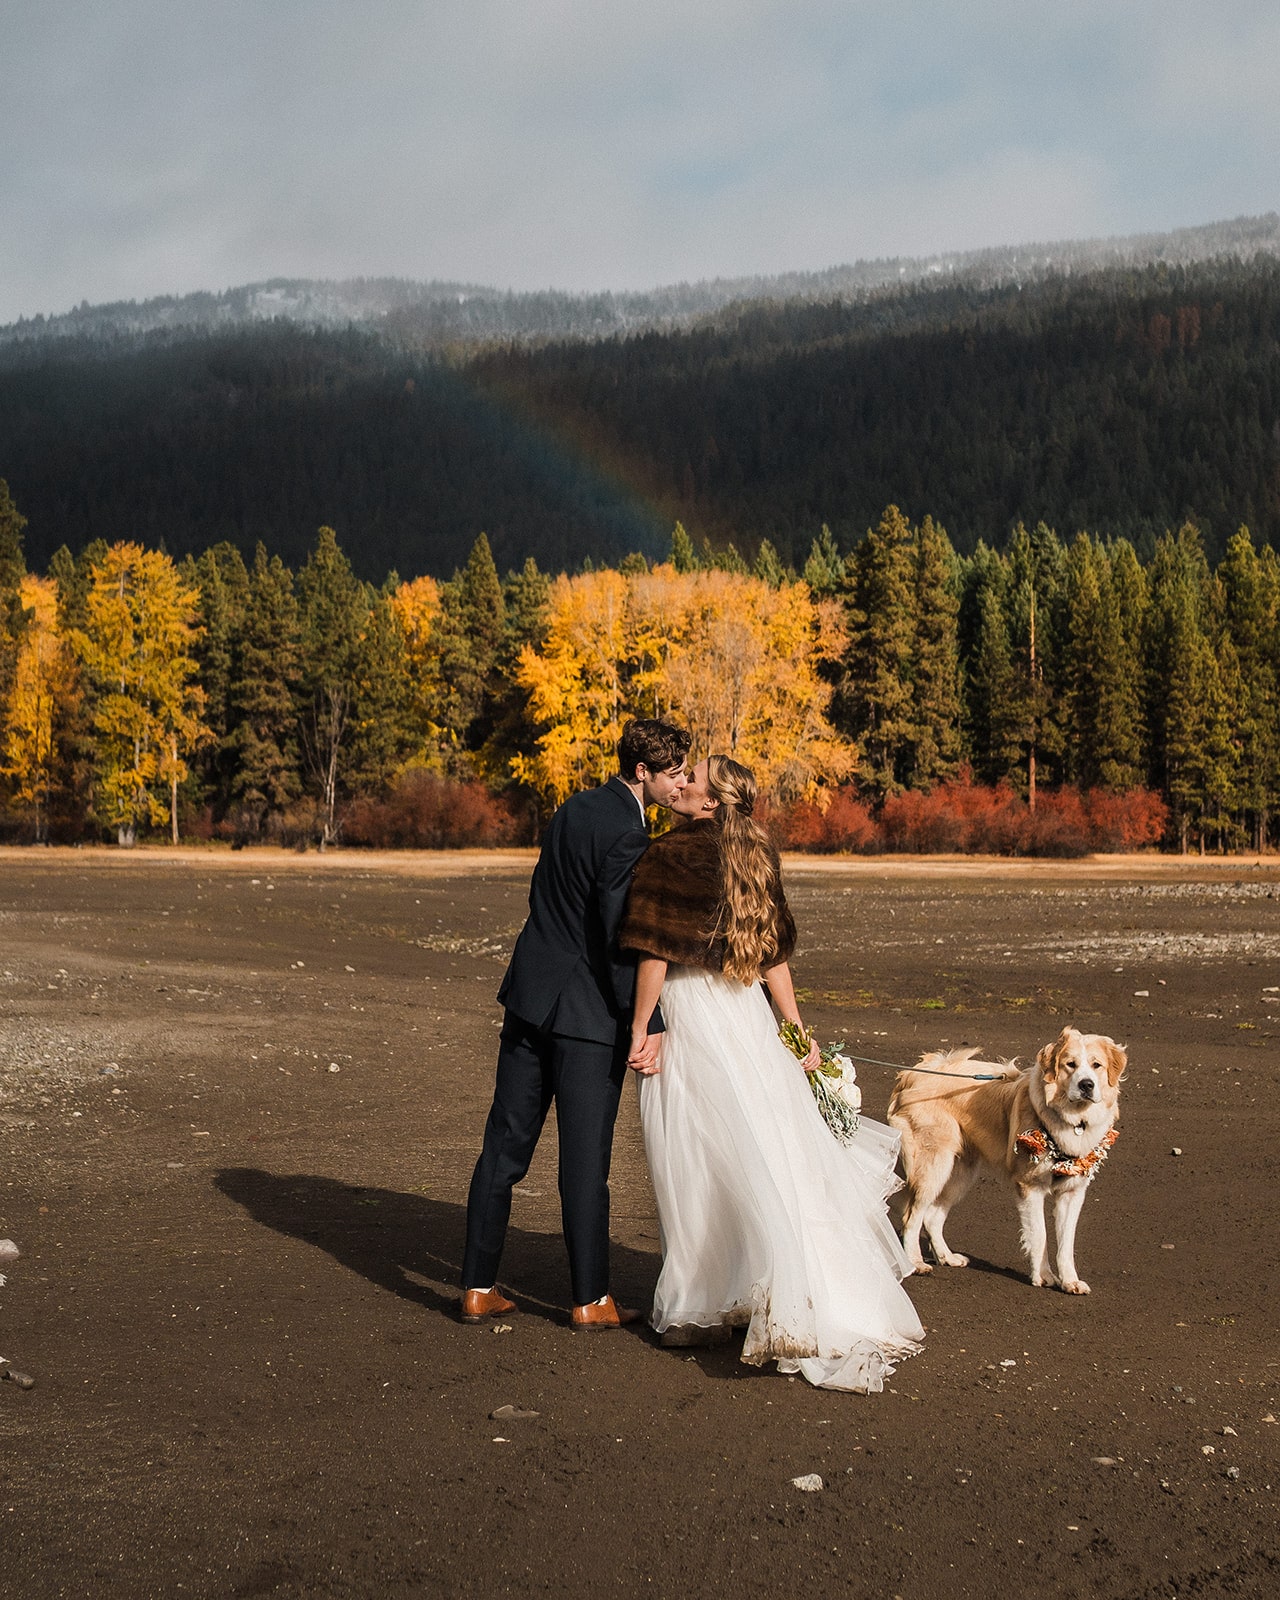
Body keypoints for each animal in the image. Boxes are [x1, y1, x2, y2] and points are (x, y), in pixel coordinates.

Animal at [889, 1024, 1120, 1299]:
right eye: (1070, 1065)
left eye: (1097, 1065)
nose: (1087, 1085)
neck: (1072, 1120)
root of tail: (911, 1076)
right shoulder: (1030, 1187)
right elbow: (1040, 1235)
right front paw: (1043, 1277)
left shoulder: (1072, 1193)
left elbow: (1066, 1243)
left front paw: (1070, 1281)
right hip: (935, 1165)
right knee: (911, 1217)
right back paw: (915, 1263)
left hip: (961, 1172)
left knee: (932, 1216)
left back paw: (947, 1257)